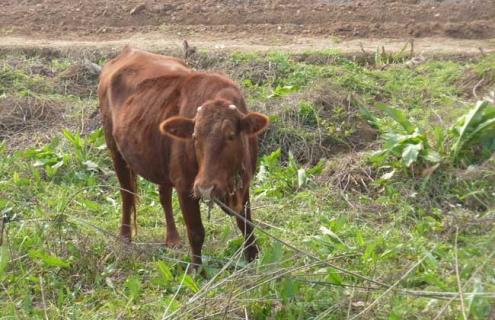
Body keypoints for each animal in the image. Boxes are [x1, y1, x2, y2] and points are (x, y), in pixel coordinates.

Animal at [99, 47, 270, 266]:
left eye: (231, 135)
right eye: (195, 137)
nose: (206, 188)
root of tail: (127, 52)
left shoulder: (244, 184)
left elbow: (246, 224)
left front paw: (253, 258)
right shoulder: (185, 186)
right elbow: (196, 232)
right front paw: (197, 270)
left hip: (160, 161)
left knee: (163, 195)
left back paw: (172, 238)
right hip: (114, 148)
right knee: (126, 193)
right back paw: (124, 237)